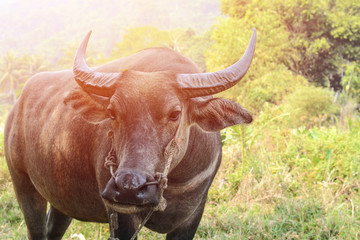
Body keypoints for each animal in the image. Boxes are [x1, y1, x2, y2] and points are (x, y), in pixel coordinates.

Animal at [4, 29, 255, 239]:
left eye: (175, 114)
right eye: (112, 113)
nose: (128, 187)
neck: (174, 184)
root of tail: (15, 110)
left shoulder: (192, 217)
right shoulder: (121, 216)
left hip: (61, 200)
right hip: (23, 184)